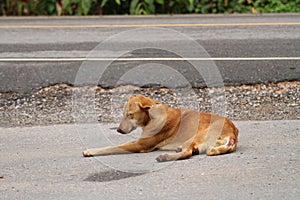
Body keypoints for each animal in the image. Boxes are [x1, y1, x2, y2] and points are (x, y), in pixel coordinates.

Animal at [82, 94, 239, 162]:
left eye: (130, 115)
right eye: (123, 114)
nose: (118, 130)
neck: (151, 117)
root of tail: (233, 133)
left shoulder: (140, 145)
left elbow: (111, 147)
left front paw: (90, 151)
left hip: (196, 136)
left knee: (187, 152)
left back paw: (165, 157)